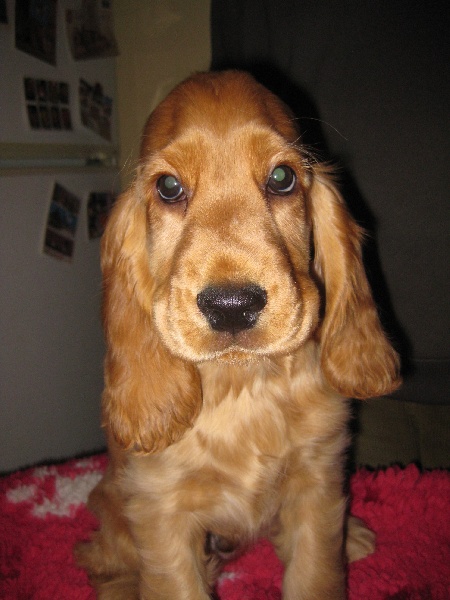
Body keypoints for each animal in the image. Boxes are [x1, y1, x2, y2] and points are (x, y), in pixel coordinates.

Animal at [76, 70, 401, 599]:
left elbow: (314, 570)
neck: (242, 385)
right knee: (104, 555)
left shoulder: (317, 480)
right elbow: (173, 582)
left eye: (282, 178)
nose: (232, 307)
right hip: (112, 503)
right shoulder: (159, 509)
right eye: (169, 187)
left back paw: (353, 536)